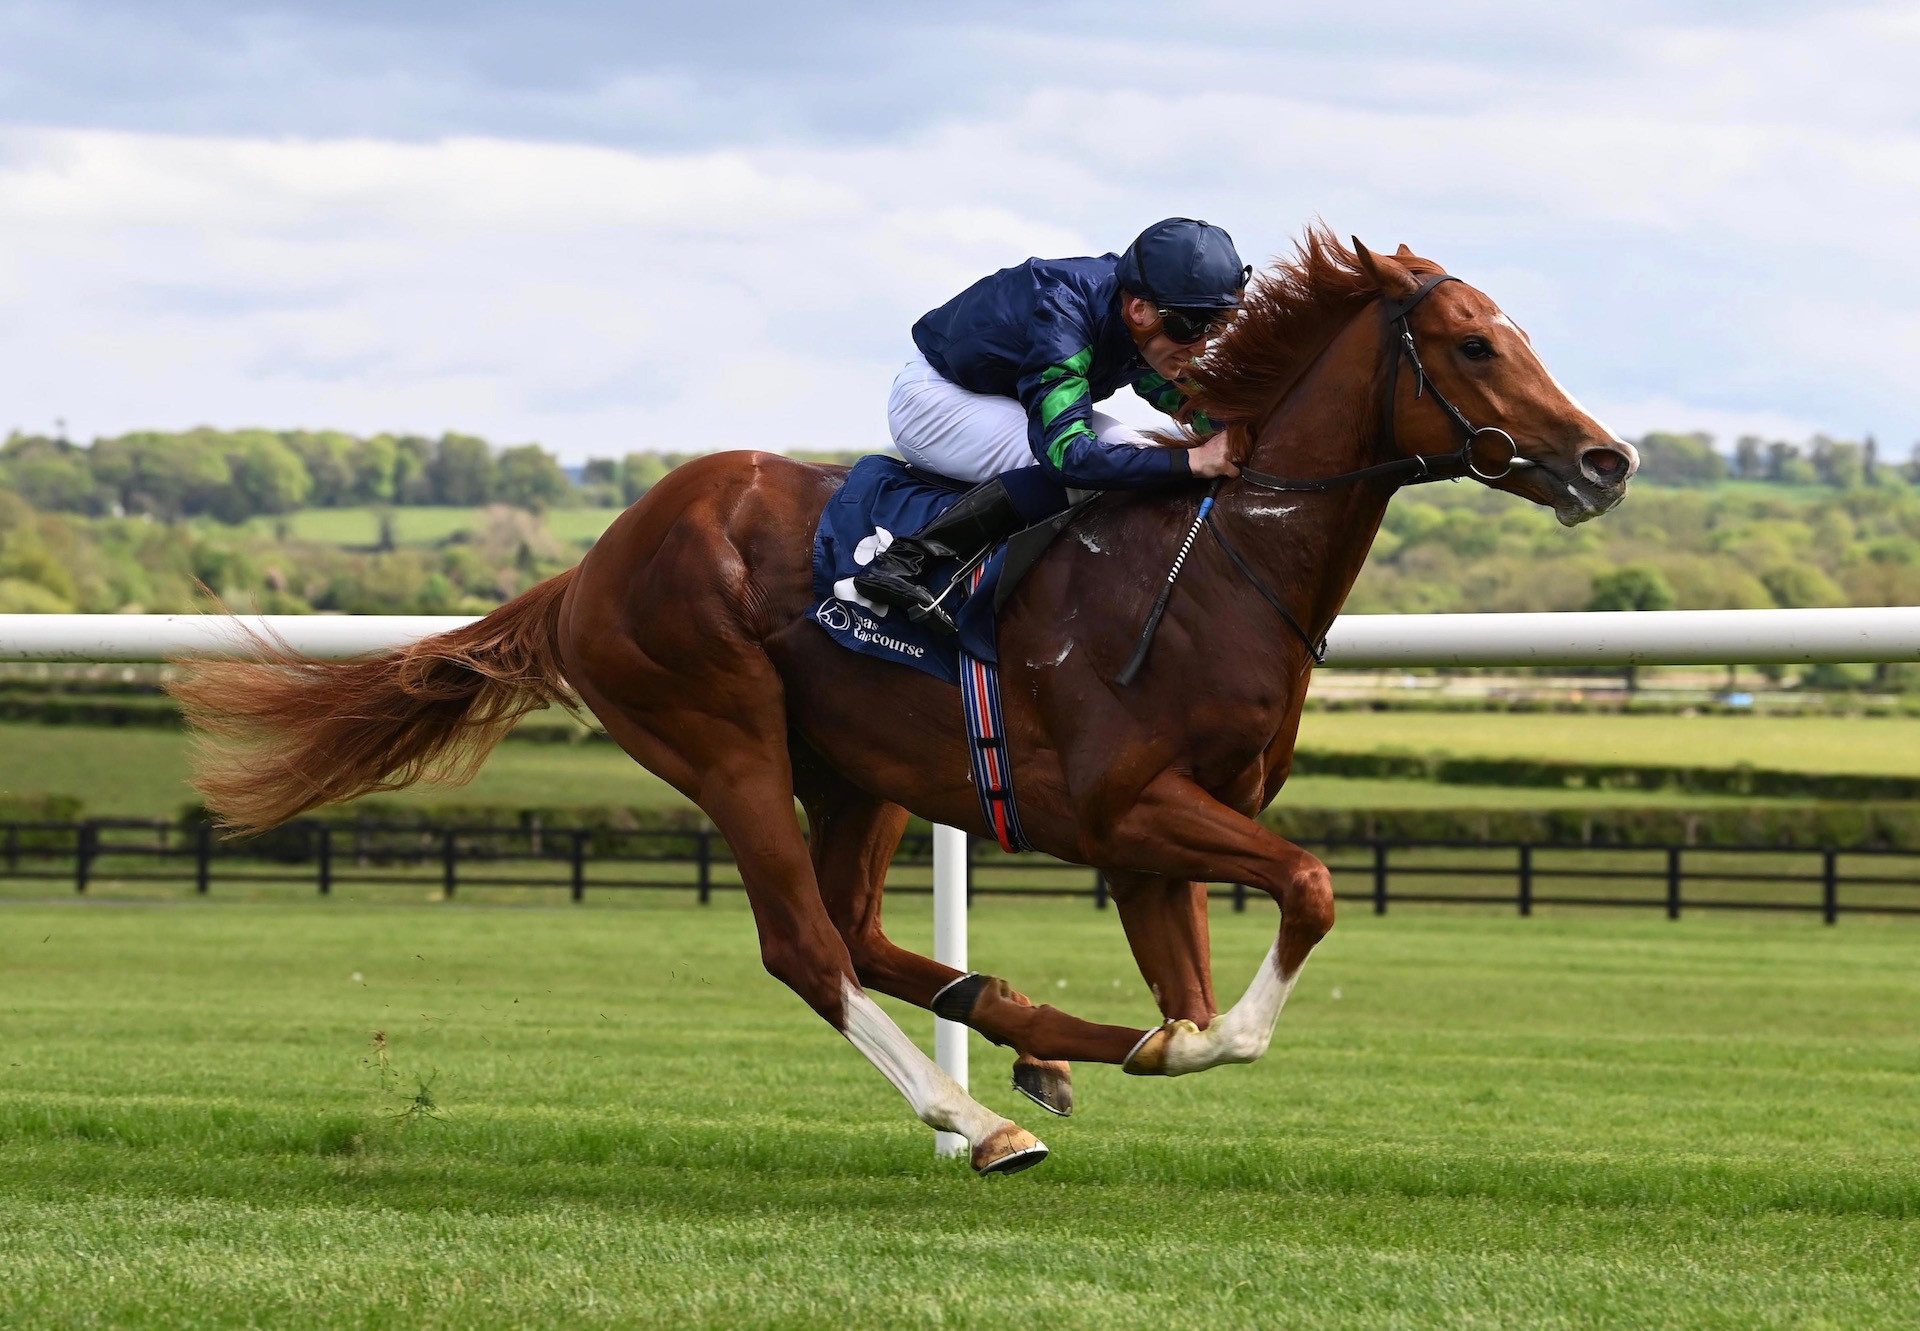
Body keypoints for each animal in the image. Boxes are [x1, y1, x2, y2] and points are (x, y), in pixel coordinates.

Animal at [172, 231, 1635, 1175]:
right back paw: (982, 1114)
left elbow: (1203, 990)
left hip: (858, 770)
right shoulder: (1128, 805)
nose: (1605, 459)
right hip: (724, 735)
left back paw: (1032, 1049)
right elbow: (1301, 911)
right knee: (805, 947)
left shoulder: (1151, 835)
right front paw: (1166, 1045)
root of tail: (592, 562)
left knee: (860, 932)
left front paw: (1140, 1038)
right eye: (1473, 343)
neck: (1217, 558)